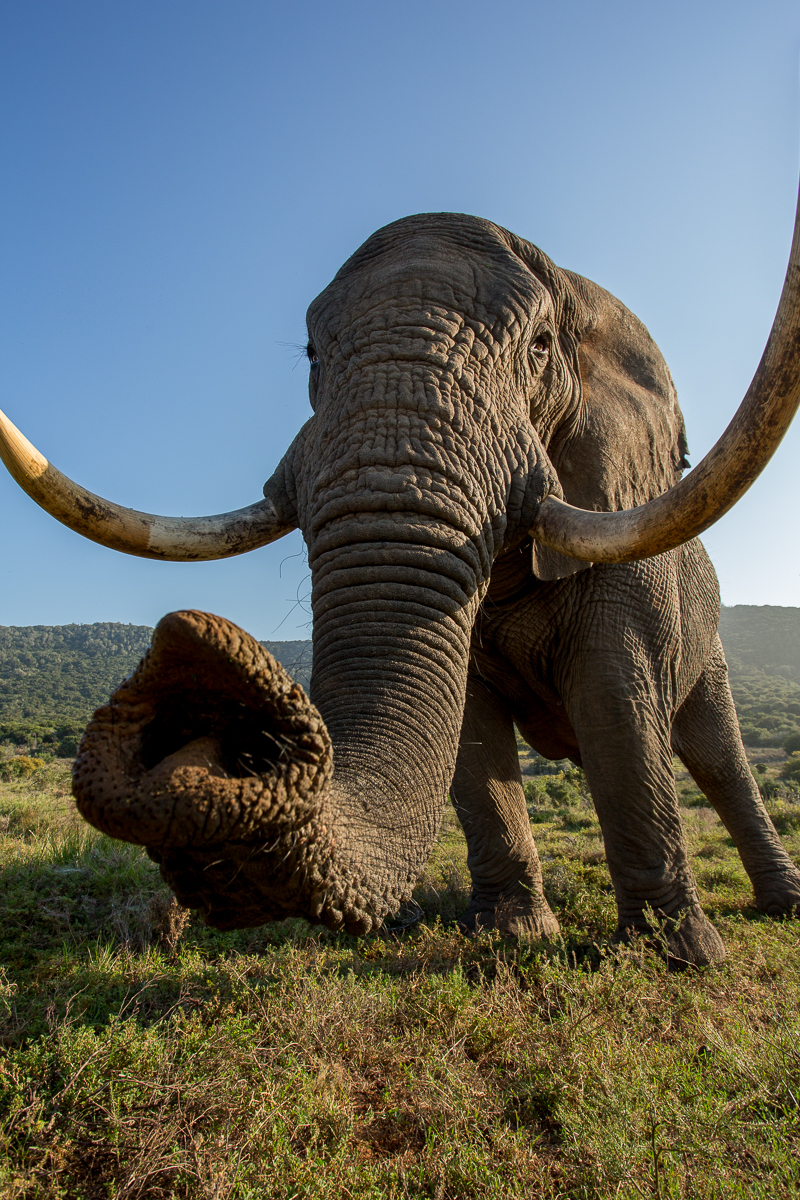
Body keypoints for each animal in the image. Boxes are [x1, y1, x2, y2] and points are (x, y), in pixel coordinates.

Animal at [4, 196, 800, 964]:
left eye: (540, 347)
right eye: (311, 354)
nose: (196, 674)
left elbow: (617, 710)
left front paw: (678, 958)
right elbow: (471, 731)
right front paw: (512, 938)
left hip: (710, 642)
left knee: (717, 759)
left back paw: (777, 906)